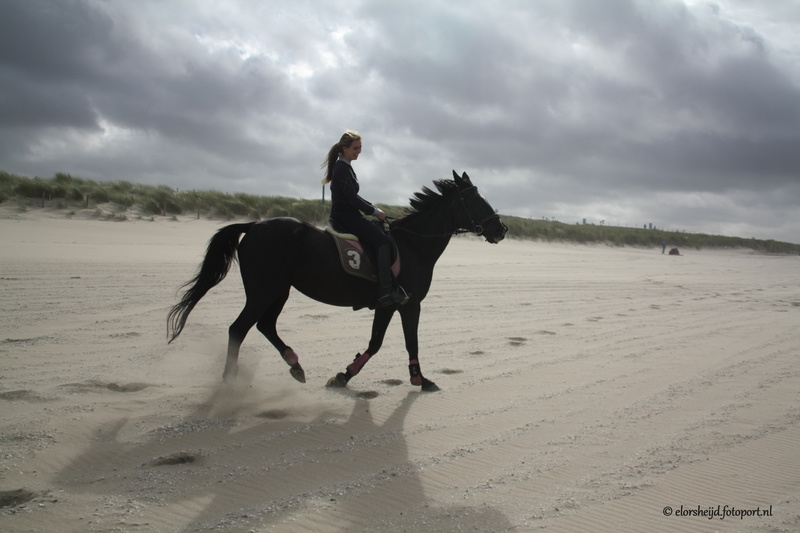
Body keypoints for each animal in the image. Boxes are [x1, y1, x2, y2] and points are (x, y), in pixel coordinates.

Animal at [166, 171, 507, 392]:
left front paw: (344, 376)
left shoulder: (387, 305)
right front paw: (420, 380)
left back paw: (295, 365)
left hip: (279, 291)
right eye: (475, 199)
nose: (500, 229)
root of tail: (253, 226)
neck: (413, 244)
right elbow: (410, 341)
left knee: (265, 326)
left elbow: (375, 343)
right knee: (239, 329)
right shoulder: (410, 304)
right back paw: (230, 381)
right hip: (264, 291)